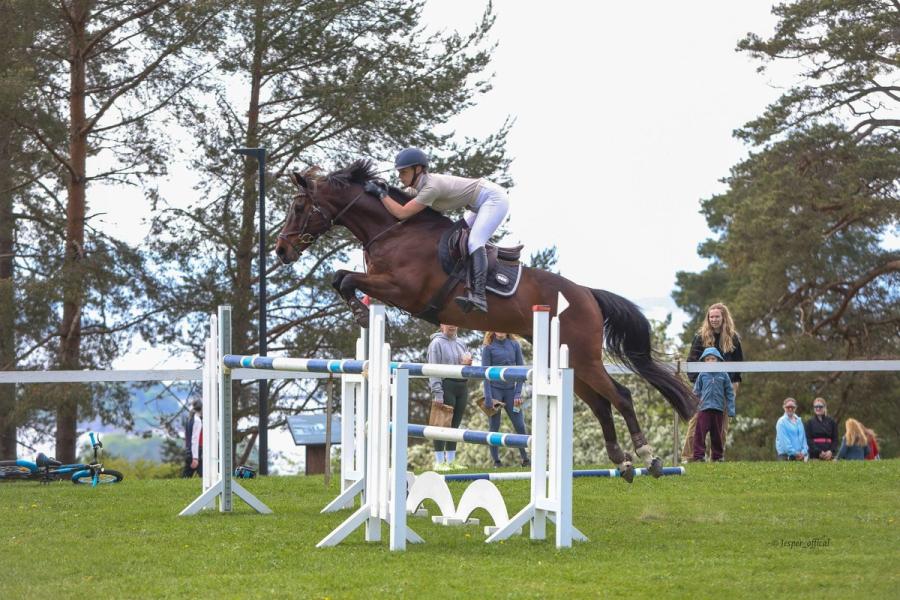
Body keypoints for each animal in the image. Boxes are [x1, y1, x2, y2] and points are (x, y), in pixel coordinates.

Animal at [274, 159, 696, 481]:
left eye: (298, 208)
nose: (281, 251)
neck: (393, 231)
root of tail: (586, 294)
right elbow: (340, 277)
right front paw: (361, 311)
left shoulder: (403, 290)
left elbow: (346, 278)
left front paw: (362, 311)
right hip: (569, 360)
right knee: (600, 405)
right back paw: (621, 462)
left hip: (584, 356)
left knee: (620, 396)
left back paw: (648, 458)